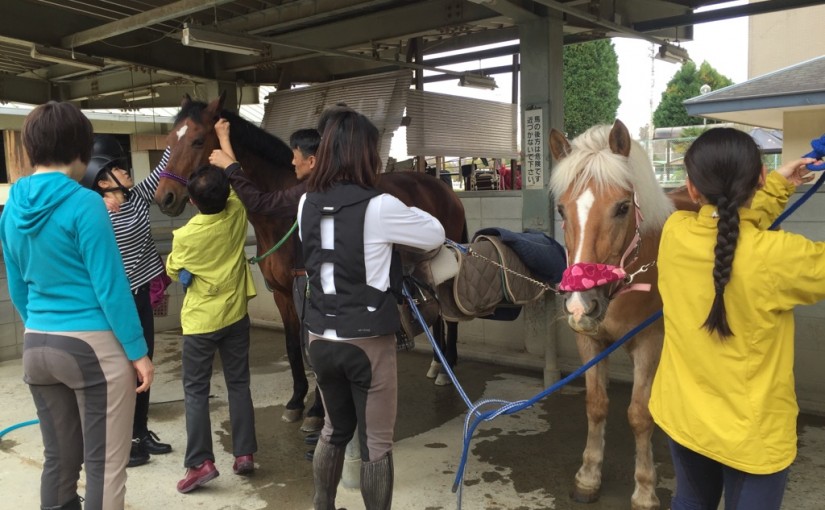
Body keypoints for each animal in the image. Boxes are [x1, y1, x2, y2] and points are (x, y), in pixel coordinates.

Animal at [154, 93, 466, 430]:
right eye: (169, 140)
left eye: (198, 140)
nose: (164, 198)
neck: (283, 216)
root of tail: (442, 187)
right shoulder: (281, 294)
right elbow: (293, 348)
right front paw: (295, 402)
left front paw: (317, 411)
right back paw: (437, 364)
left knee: (449, 315)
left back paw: (446, 367)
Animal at [548, 119, 692, 510]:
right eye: (561, 210)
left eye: (623, 207)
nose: (581, 301)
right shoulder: (589, 339)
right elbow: (596, 405)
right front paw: (588, 476)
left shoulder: (648, 341)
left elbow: (639, 415)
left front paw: (644, 489)